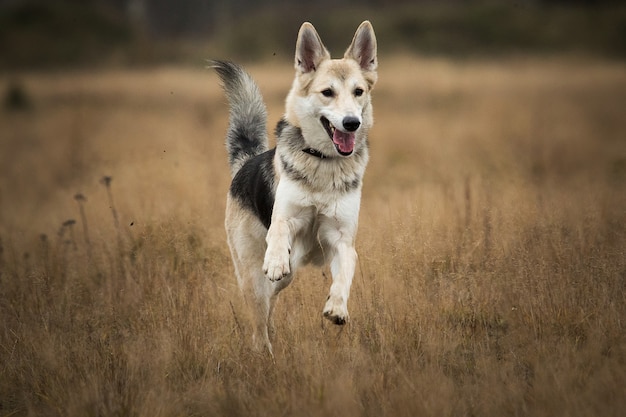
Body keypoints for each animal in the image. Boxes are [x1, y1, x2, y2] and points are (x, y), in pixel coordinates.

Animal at [210, 18, 376, 352]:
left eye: (358, 92)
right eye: (327, 92)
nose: (352, 122)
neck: (325, 164)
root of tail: (246, 162)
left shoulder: (342, 240)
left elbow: (344, 275)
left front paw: (337, 308)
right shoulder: (285, 217)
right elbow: (279, 230)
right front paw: (275, 260)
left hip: (288, 275)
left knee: (271, 305)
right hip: (254, 273)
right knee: (259, 317)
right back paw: (264, 352)